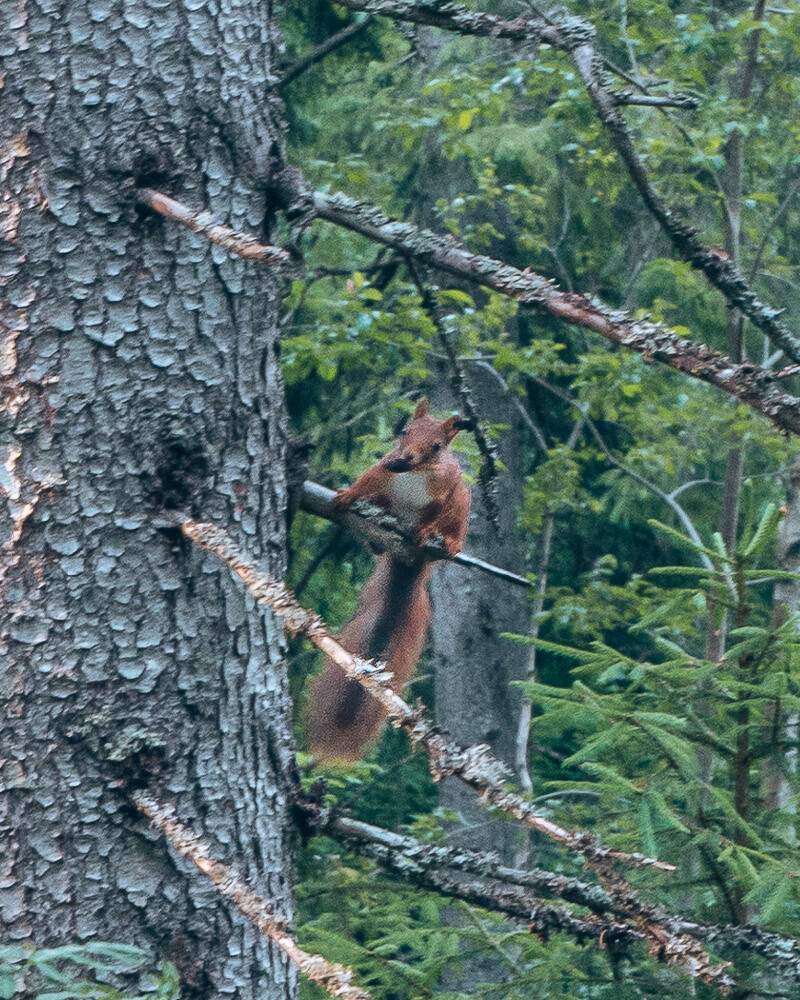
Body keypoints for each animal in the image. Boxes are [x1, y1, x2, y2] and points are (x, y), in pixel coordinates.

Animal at [306, 399, 472, 762]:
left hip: (463, 500)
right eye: (405, 431)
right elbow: (367, 480)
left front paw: (424, 531)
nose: (405, 458)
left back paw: (449, 543)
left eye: (437, 446)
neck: (415, 474)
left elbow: (433, 517)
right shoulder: (382, 470)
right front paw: (346, 495)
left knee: (455, 524)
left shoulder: (445, 491)